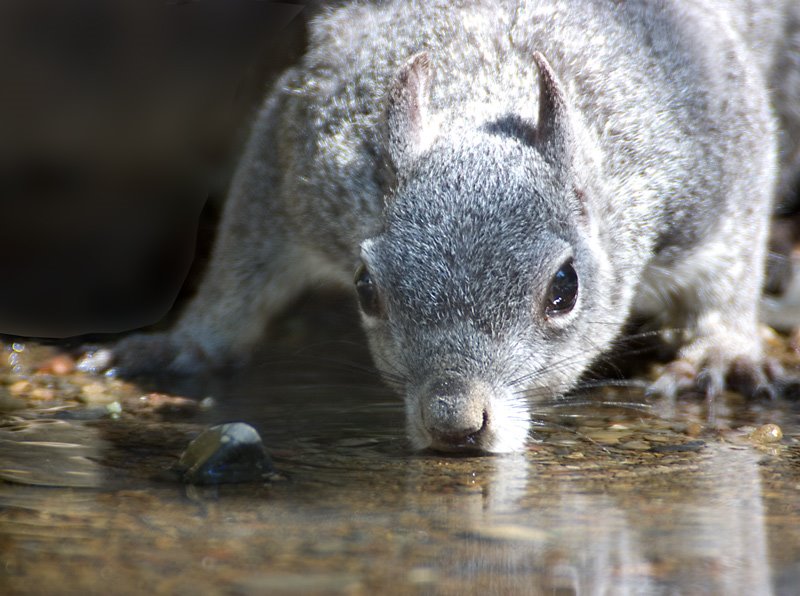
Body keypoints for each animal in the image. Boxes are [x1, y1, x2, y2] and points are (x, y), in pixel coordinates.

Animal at [107, 0, 800, 452]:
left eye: (565, 288)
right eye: (365, 287)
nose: (454, 422)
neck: (483, 96)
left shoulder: (718, 159)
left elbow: (730, 263)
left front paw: (722, 349)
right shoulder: (295, 161)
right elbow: (241, 265)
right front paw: (189, 342)